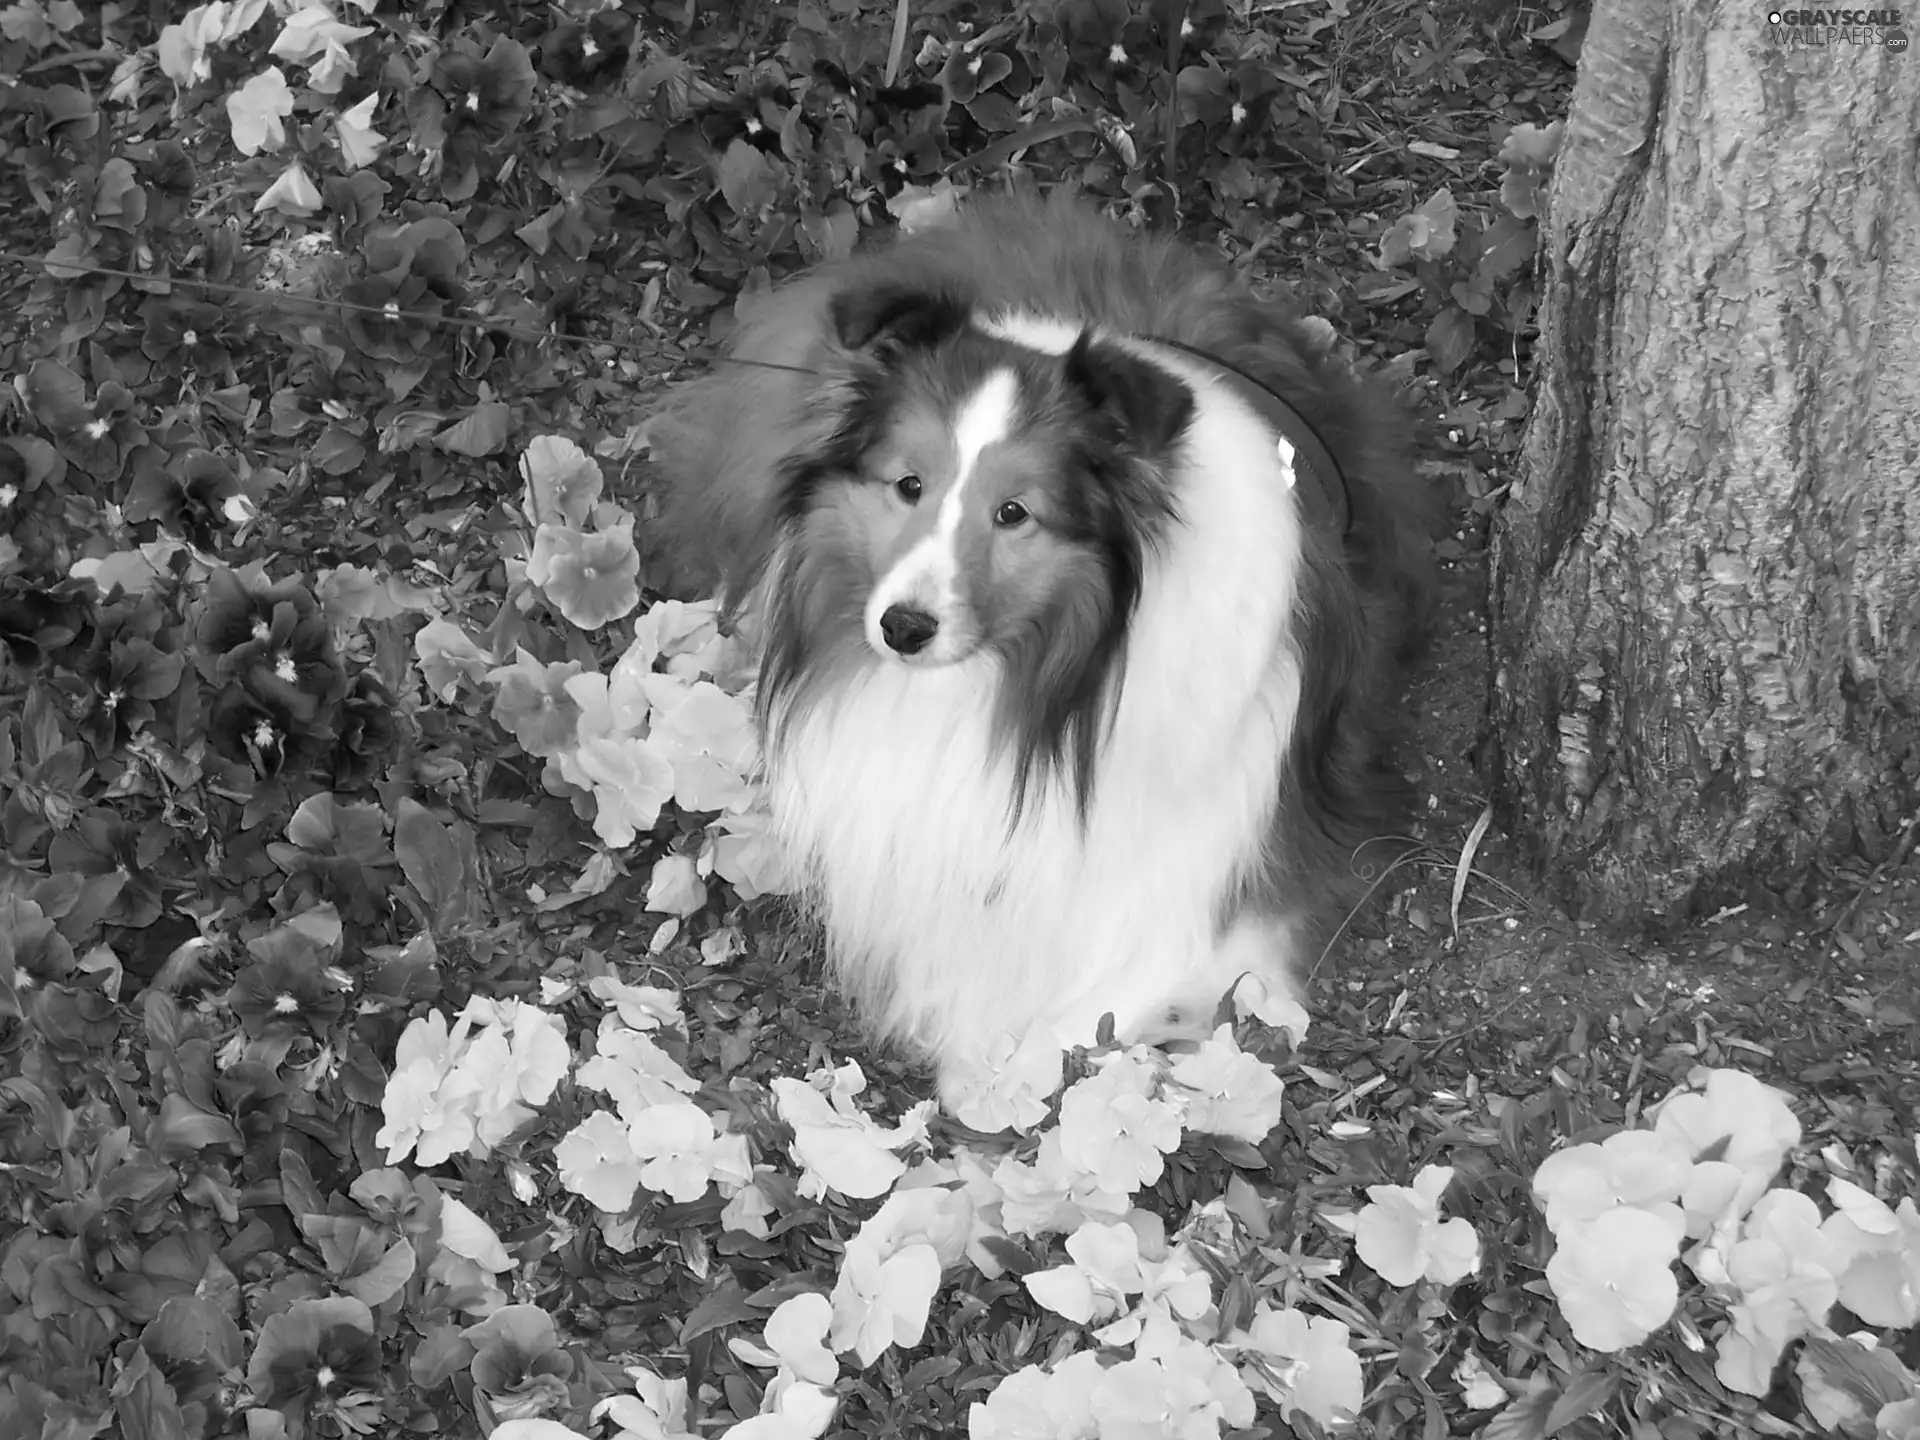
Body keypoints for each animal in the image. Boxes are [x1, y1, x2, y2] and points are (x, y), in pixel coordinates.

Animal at [652, 192, 1436, 1105]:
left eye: (1014, 512)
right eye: (908, 484)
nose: (902, 629)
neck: (1043, 699)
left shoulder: (1220, 898)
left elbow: (1101, 1002)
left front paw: (999, 1075)